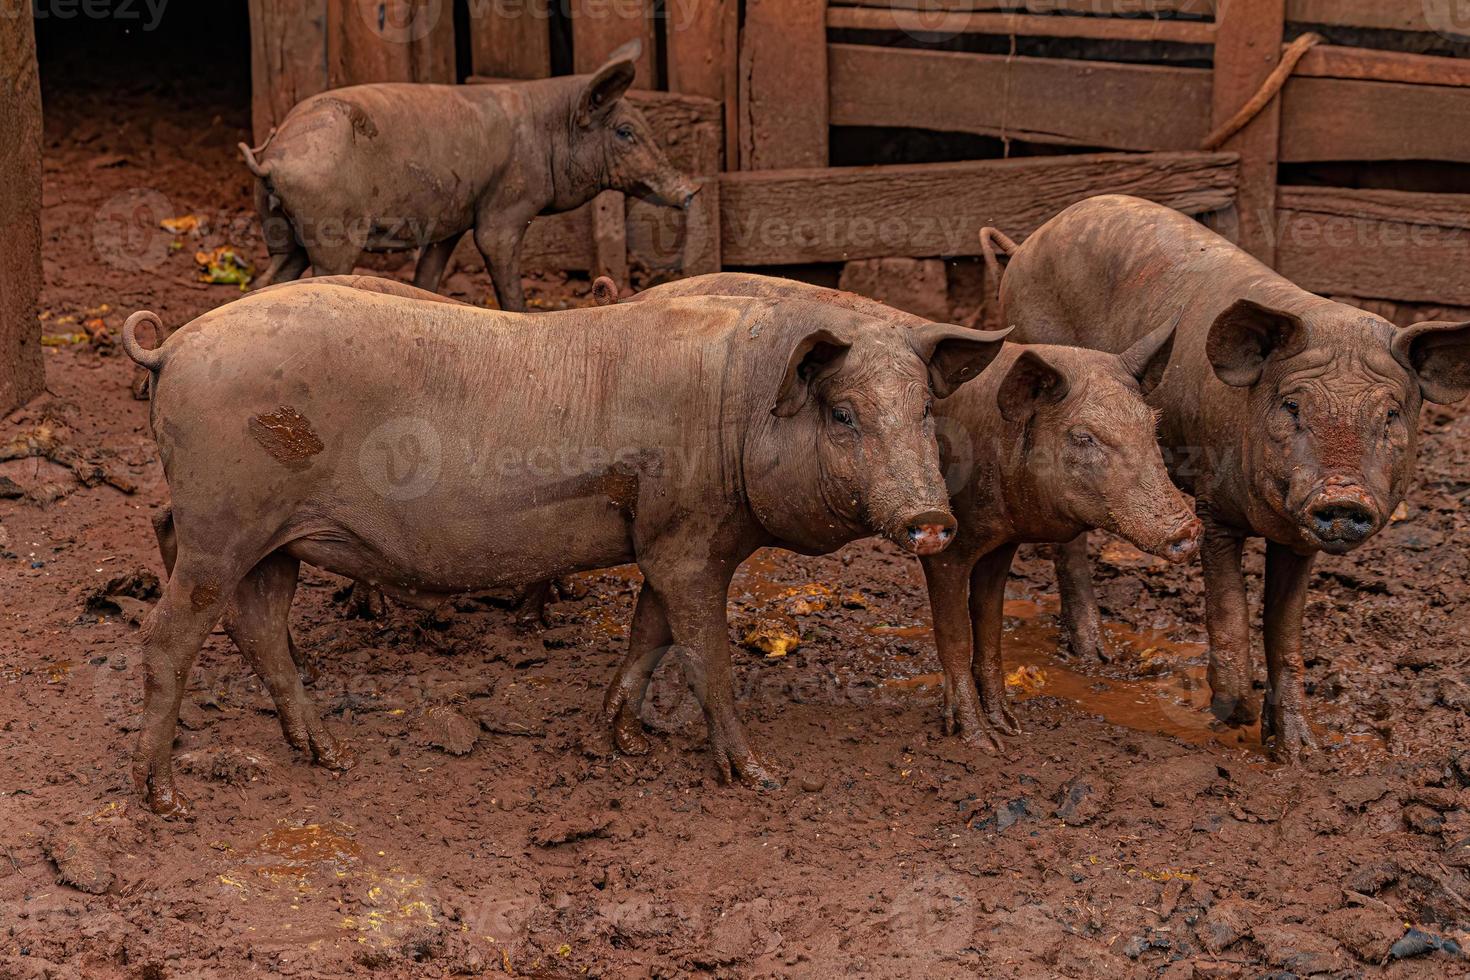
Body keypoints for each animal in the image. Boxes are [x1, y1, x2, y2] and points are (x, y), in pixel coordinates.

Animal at [120, 274, 1005, 811]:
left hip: (275, 541)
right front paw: (759, 777)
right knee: (166, 636)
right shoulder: (689, 544)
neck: (739, 408)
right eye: (844, 414)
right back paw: (164, 797)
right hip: (221, 523)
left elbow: (647, 636)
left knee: (262, 628)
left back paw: (330, 757)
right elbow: (707, 656)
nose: (933, 520)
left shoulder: (666, 537)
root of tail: (172, 347)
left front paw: (617, 744)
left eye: (923, 410)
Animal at [238, 39, 696, 310]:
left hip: (280, 228)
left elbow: (429, 273)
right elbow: (499, 256)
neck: (550, 128)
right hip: (331, 229)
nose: (691, 189)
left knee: (271, 275)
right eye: (625, 132)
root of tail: (273, 155)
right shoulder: (507, 206)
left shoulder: (451, 221)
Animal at [579, 274, 1199, 752]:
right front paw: (981, 742)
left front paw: (1013, 729)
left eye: (1152, 426)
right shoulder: (952, 543)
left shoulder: (1001, 544)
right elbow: (954, 635)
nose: (1187, 527)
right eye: (1083, 437)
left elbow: (991, 631)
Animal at [981, 191, 1470, 758]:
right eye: (1292, 405)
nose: (1343, 495)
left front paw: (1298, 751)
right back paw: (1093, 655)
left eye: (1390, 414)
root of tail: (1026, 245)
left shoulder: (1298, 538)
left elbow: (1286, 634)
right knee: (1070, 541)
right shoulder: (1212, 508)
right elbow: (1231, 611)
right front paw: (1232, 714)